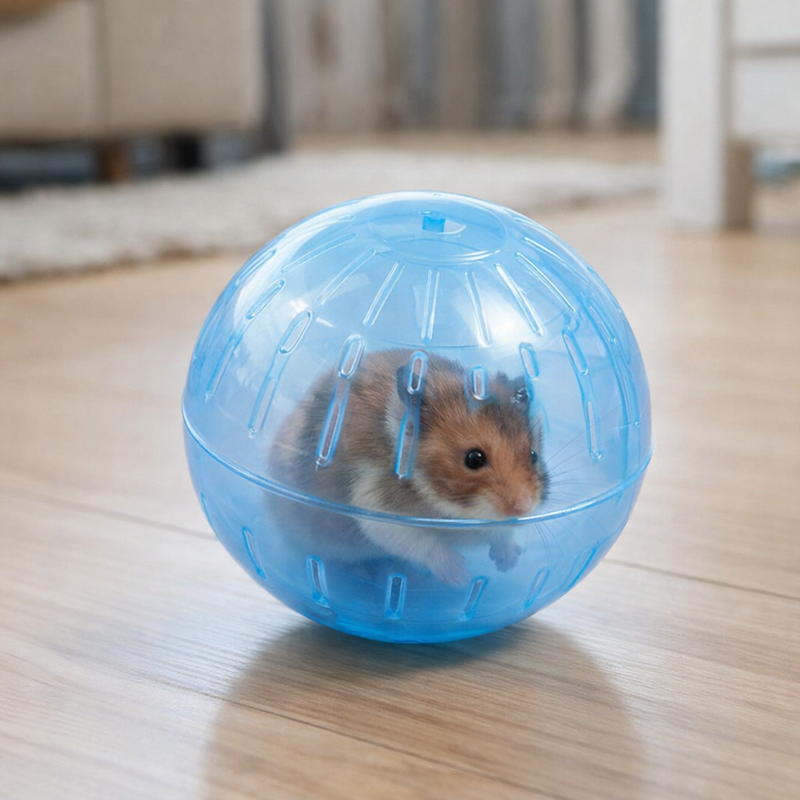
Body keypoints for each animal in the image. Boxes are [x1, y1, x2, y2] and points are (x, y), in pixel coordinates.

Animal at [272, 349, 548, 587]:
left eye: (533, 455)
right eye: (474, 458)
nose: (523, 508)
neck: (455, 512)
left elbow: (502, 534)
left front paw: (508, 562)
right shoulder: (378, 511)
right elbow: (422, 544)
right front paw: (460, 576)